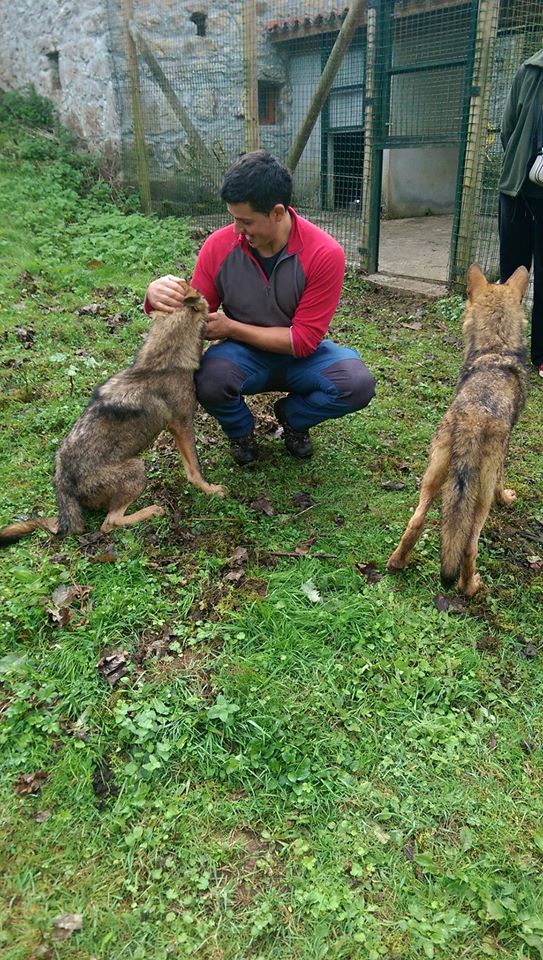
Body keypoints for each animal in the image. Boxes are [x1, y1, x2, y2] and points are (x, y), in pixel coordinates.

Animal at [0, 282, 224, 546]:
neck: (164, 361)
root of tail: (62, 483)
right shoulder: (181, 424)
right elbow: (195, 470)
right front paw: (211, 490)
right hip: (137, 468)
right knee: (110, 523)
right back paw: (152, 511)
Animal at [386, 263, 529, 597]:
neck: (495, 348)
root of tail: (472, 419)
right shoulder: (501, 462)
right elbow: (503, 484)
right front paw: (508, 498)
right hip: (480, 500)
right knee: (469, 547)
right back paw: (470, 587)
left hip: (432, 478)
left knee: (416, 522)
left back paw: (397, 563)